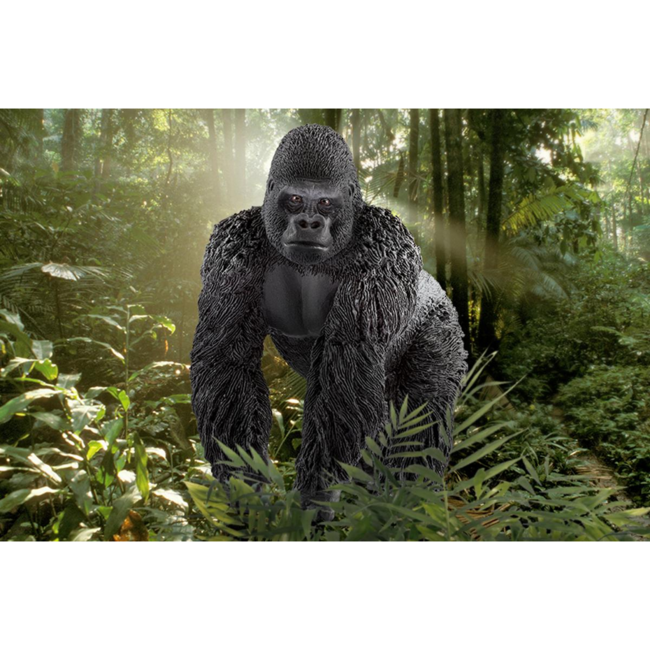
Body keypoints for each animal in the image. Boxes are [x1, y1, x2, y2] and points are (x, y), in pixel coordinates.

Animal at [190, 123, 468, 522]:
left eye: (324, 203)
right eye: (294, 200)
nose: (309, 223)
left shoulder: (384, 243)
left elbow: (349, 360)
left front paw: (315, 493)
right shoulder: (230, 245)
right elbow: (227, 360)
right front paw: (246, 483)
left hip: (442, 326)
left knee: (420, 419)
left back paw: (408, 505)